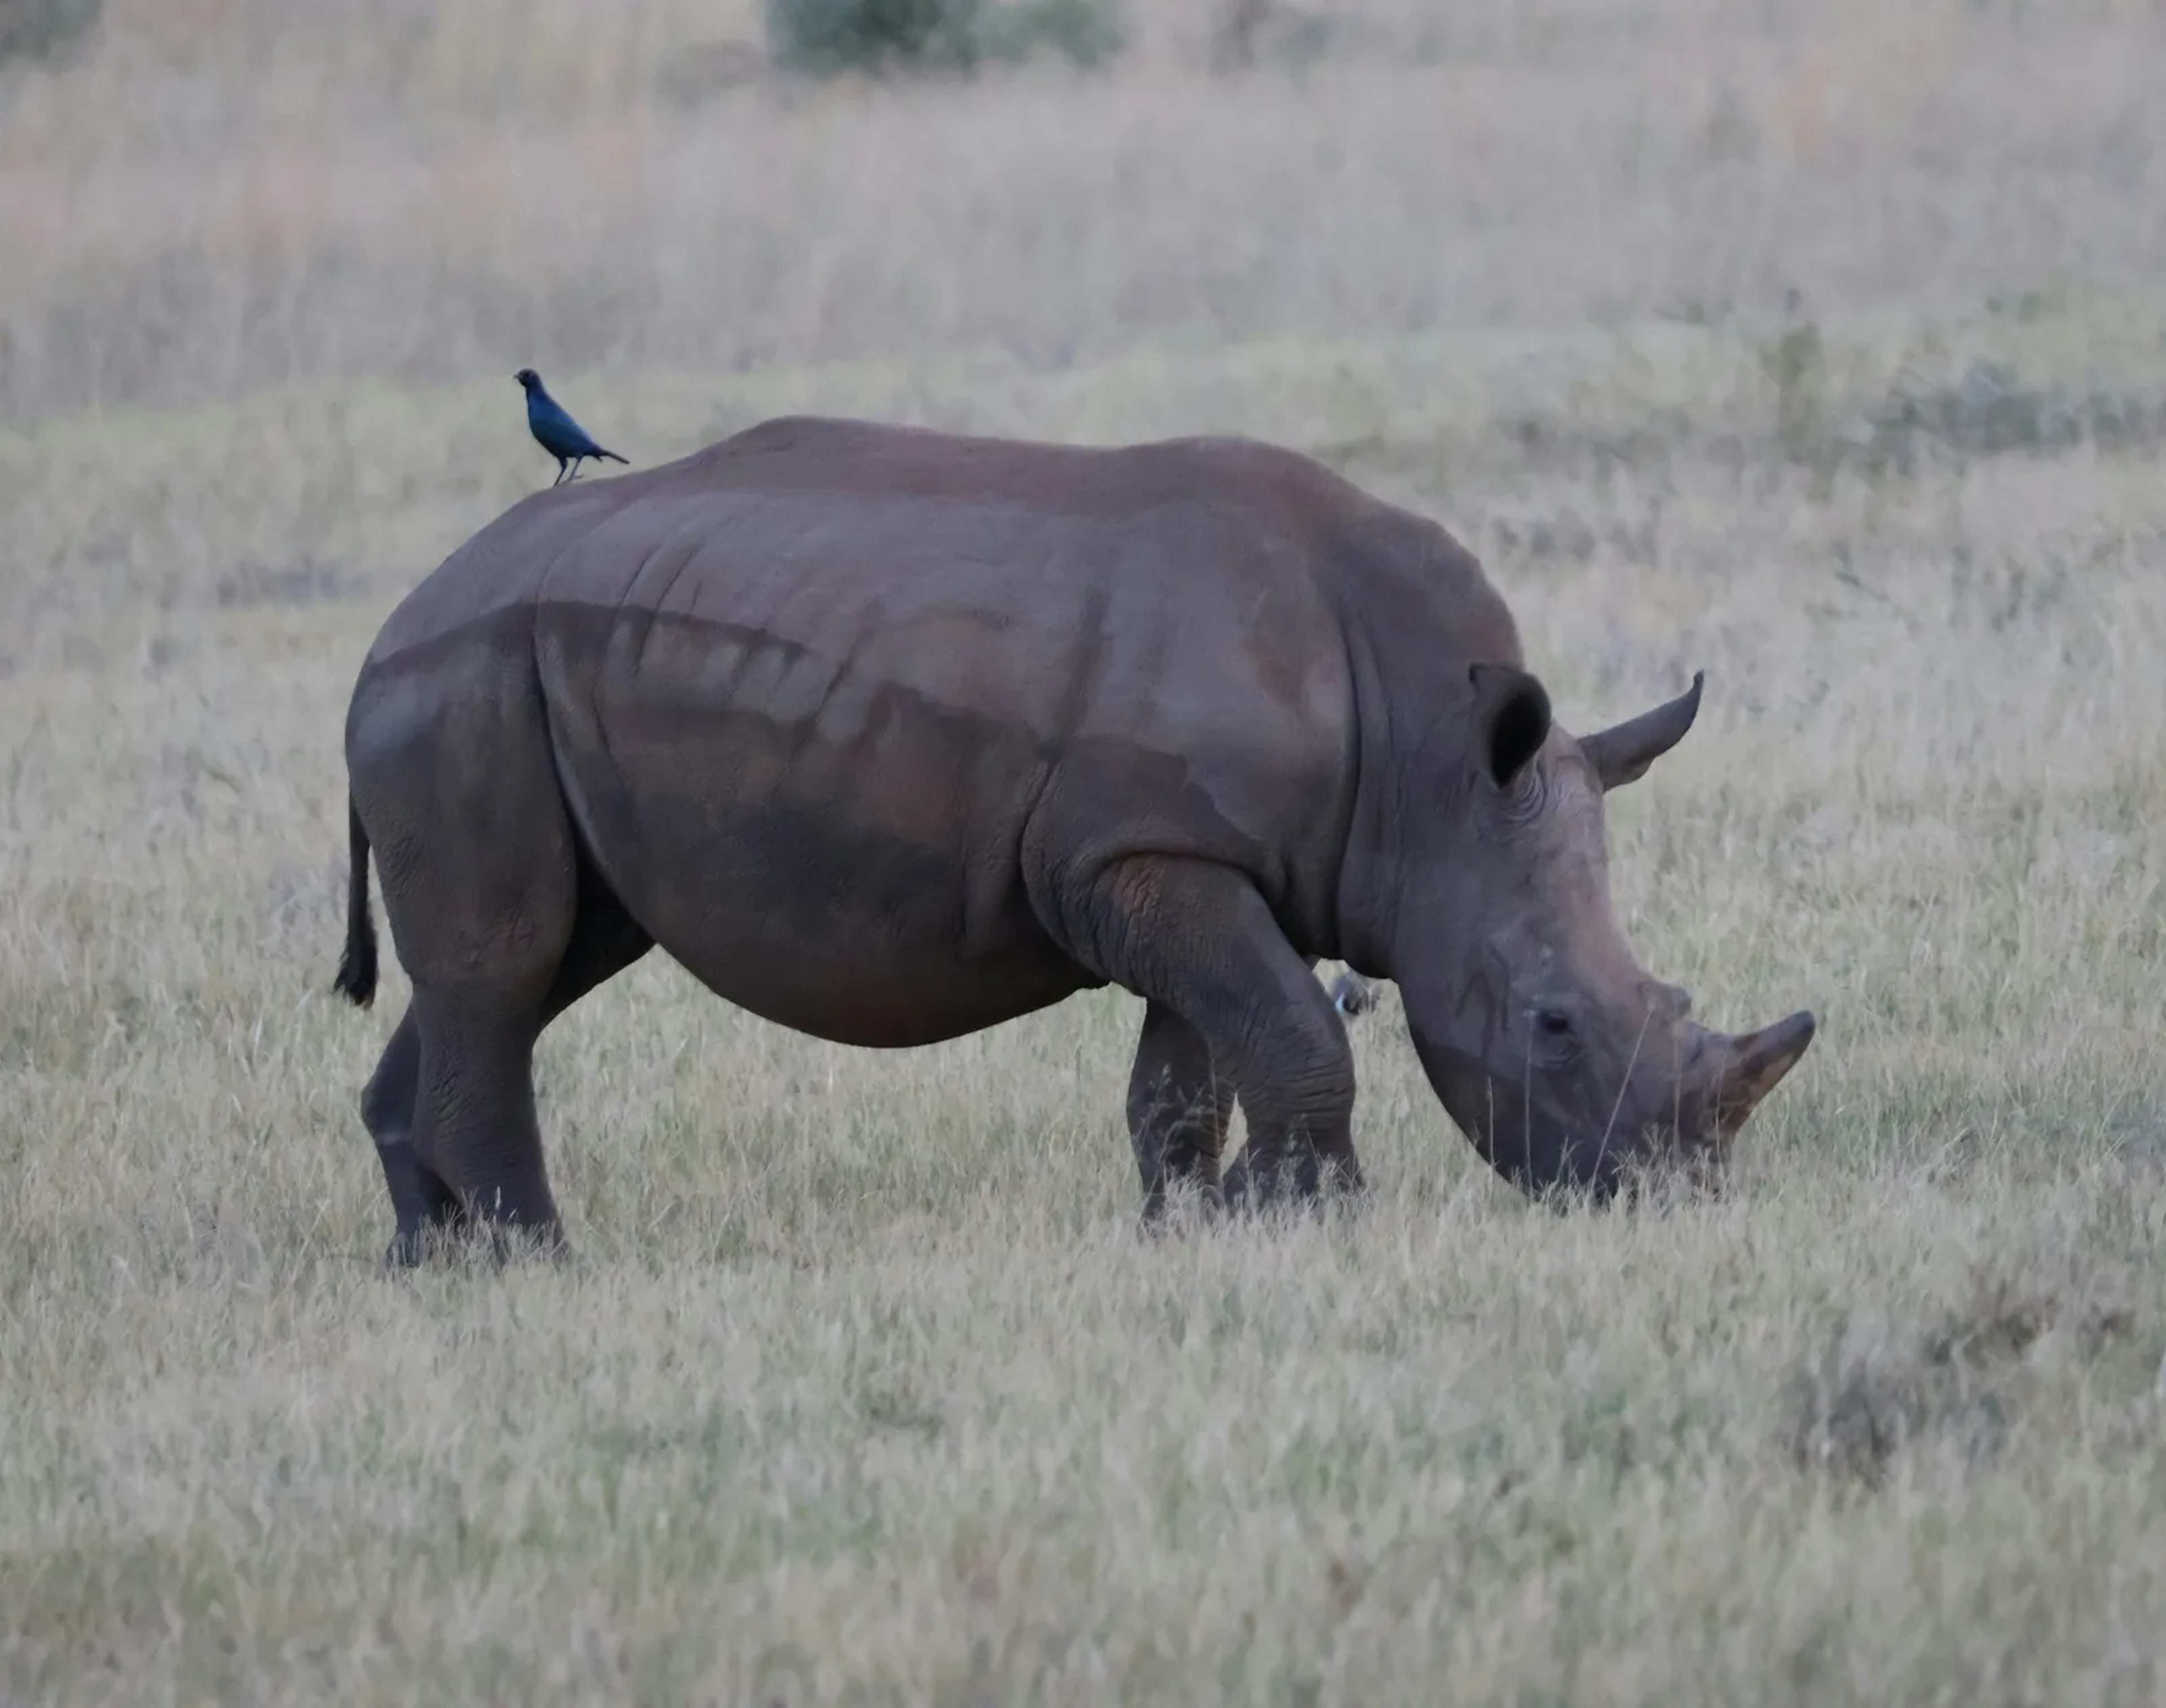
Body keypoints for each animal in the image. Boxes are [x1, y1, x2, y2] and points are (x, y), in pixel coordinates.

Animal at [334, 415, 1814, 1261]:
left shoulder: (1182, 856)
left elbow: (1193, 1067)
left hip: (522, 678)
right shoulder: (1142, 857)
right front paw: (1310, 1219)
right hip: (464, 683)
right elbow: (1295, 1030)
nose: (1666, 1194)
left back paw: (429, 1260)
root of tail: (392, 621)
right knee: (507, 966)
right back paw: (538, 1263)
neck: (1431, 766)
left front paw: (1193, 1229)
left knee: (531, 965)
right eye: (1553, 1024)